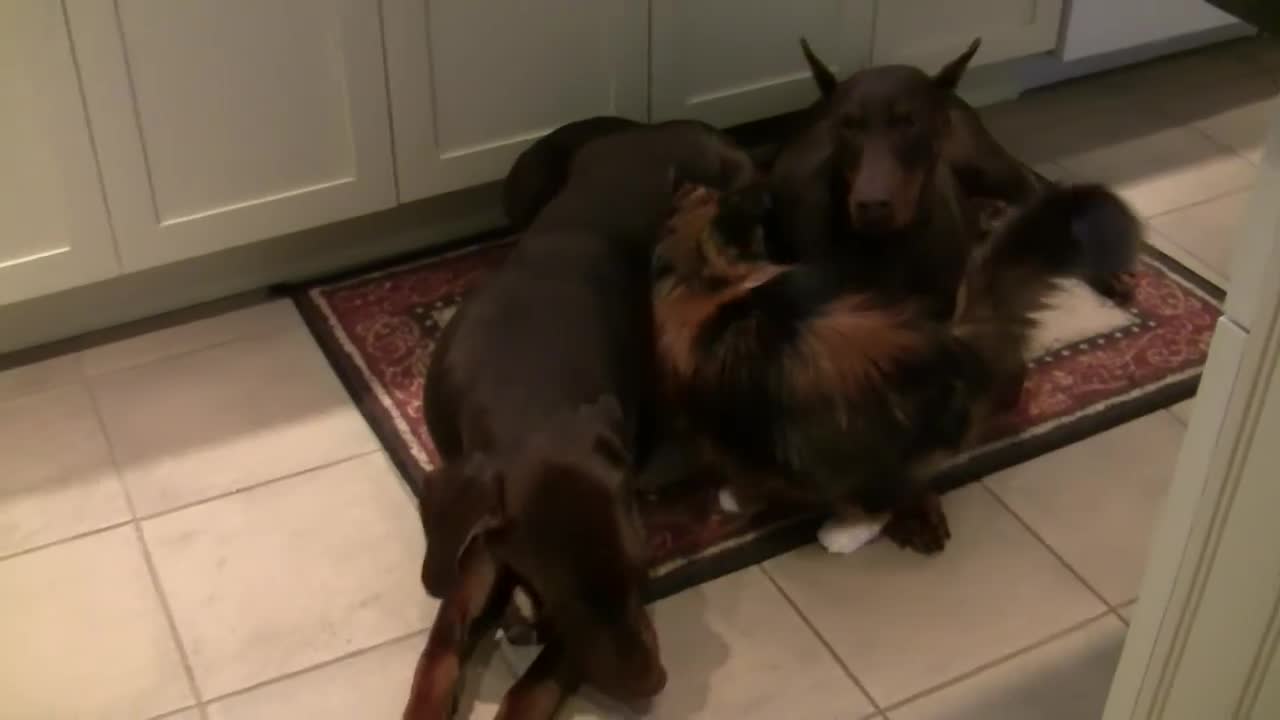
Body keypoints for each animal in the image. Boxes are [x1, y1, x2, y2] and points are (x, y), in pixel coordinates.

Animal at [404, 120, 752, 712]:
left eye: (641, 569)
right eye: (565, 592)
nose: (653, 684)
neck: (524, 382)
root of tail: (655, 126)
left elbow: (533, 688)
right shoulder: (476, 515)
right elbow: (444, 639)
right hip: (520, 185)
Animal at [650, 179, 1141, 548]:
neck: (708, 279)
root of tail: (949, 344)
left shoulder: (724, 427)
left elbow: (743, 474)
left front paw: (734, 499)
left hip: (824, 450)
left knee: (874, 503)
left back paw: (841, 533)